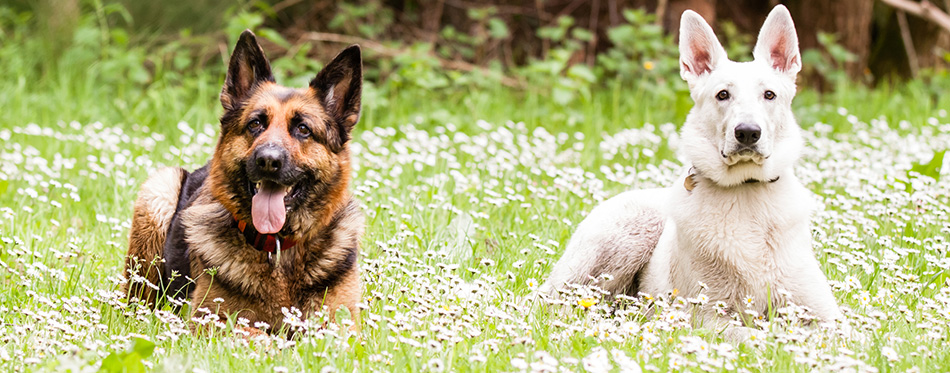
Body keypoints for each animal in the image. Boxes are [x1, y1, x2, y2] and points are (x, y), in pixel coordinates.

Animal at [124, 29, 366, 332]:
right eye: (255, 124)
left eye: (303, 129)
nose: (268, 161)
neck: (277, 247)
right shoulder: (210, 320)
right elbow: (259, 335)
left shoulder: (342, 325)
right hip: (159, 191)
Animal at [548, 4, 844, 338]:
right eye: (723, 95)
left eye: (769, 95)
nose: (748, 133)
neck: (746, 189)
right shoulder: (706, 315)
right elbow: (758, 336)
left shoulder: (827, 315)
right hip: (622, 241)